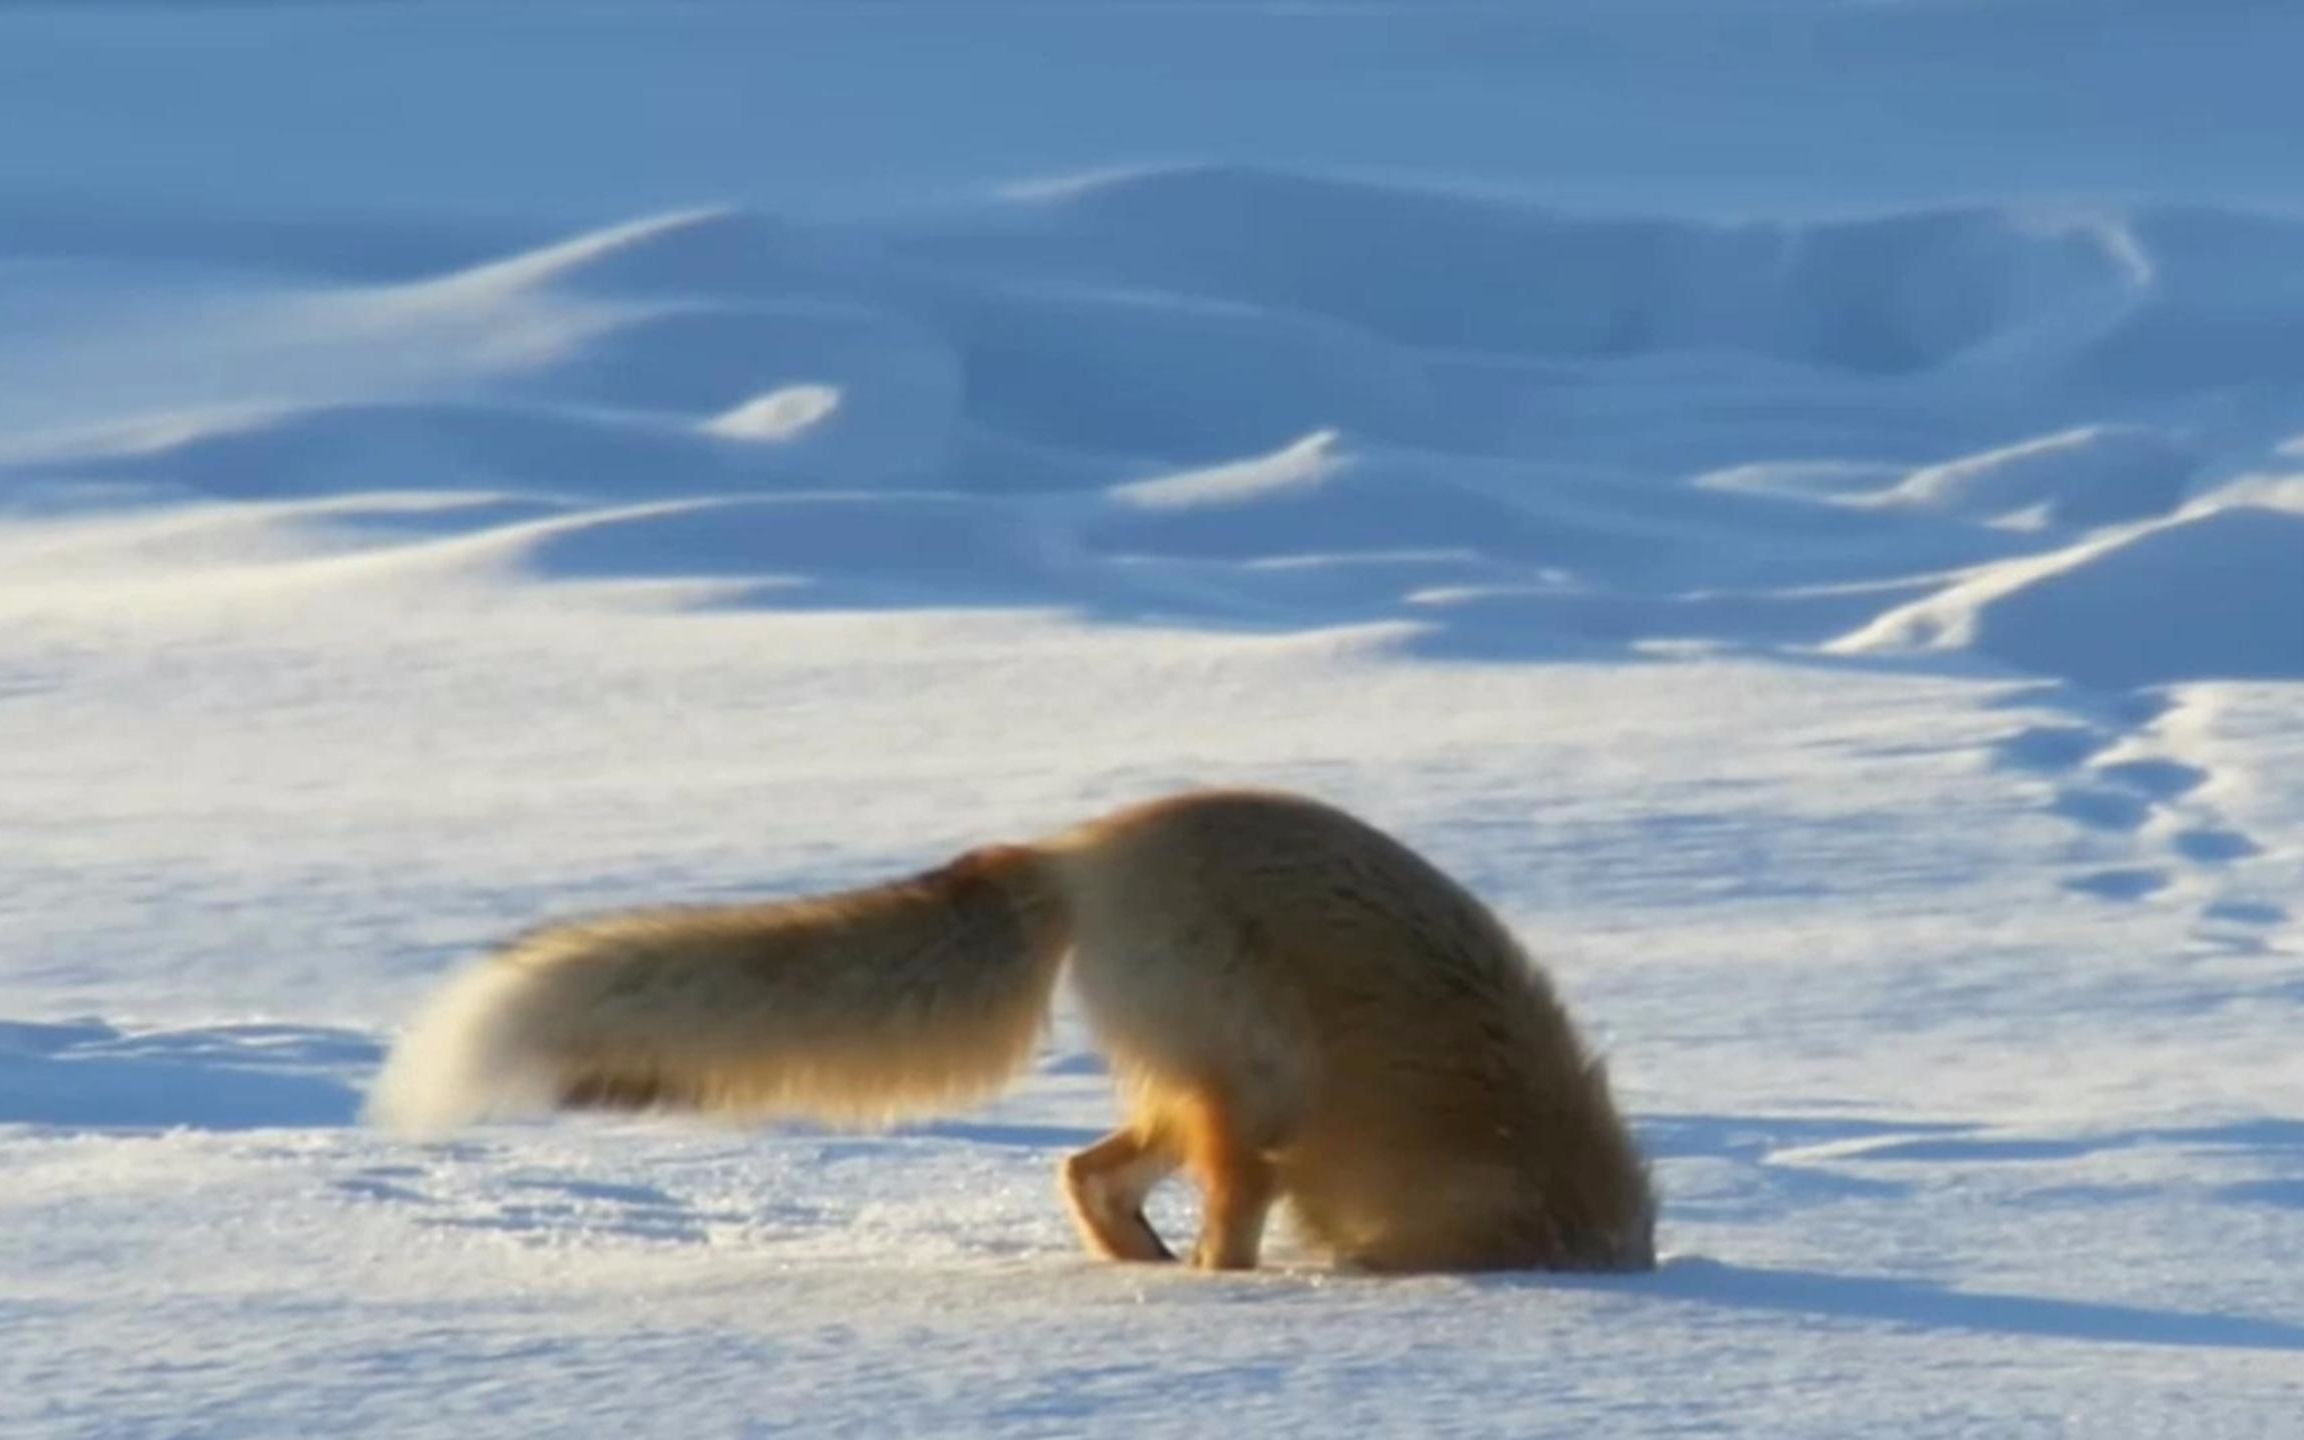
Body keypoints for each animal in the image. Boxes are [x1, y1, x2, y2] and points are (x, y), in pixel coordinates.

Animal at [364, 787, 1658, 1271]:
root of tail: (1080, 849)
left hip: (1196, 1094)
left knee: (1084, 1173)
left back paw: (1143, 1269)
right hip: (1258, 1092)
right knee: (1196, 1216)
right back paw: (1214, 1291)